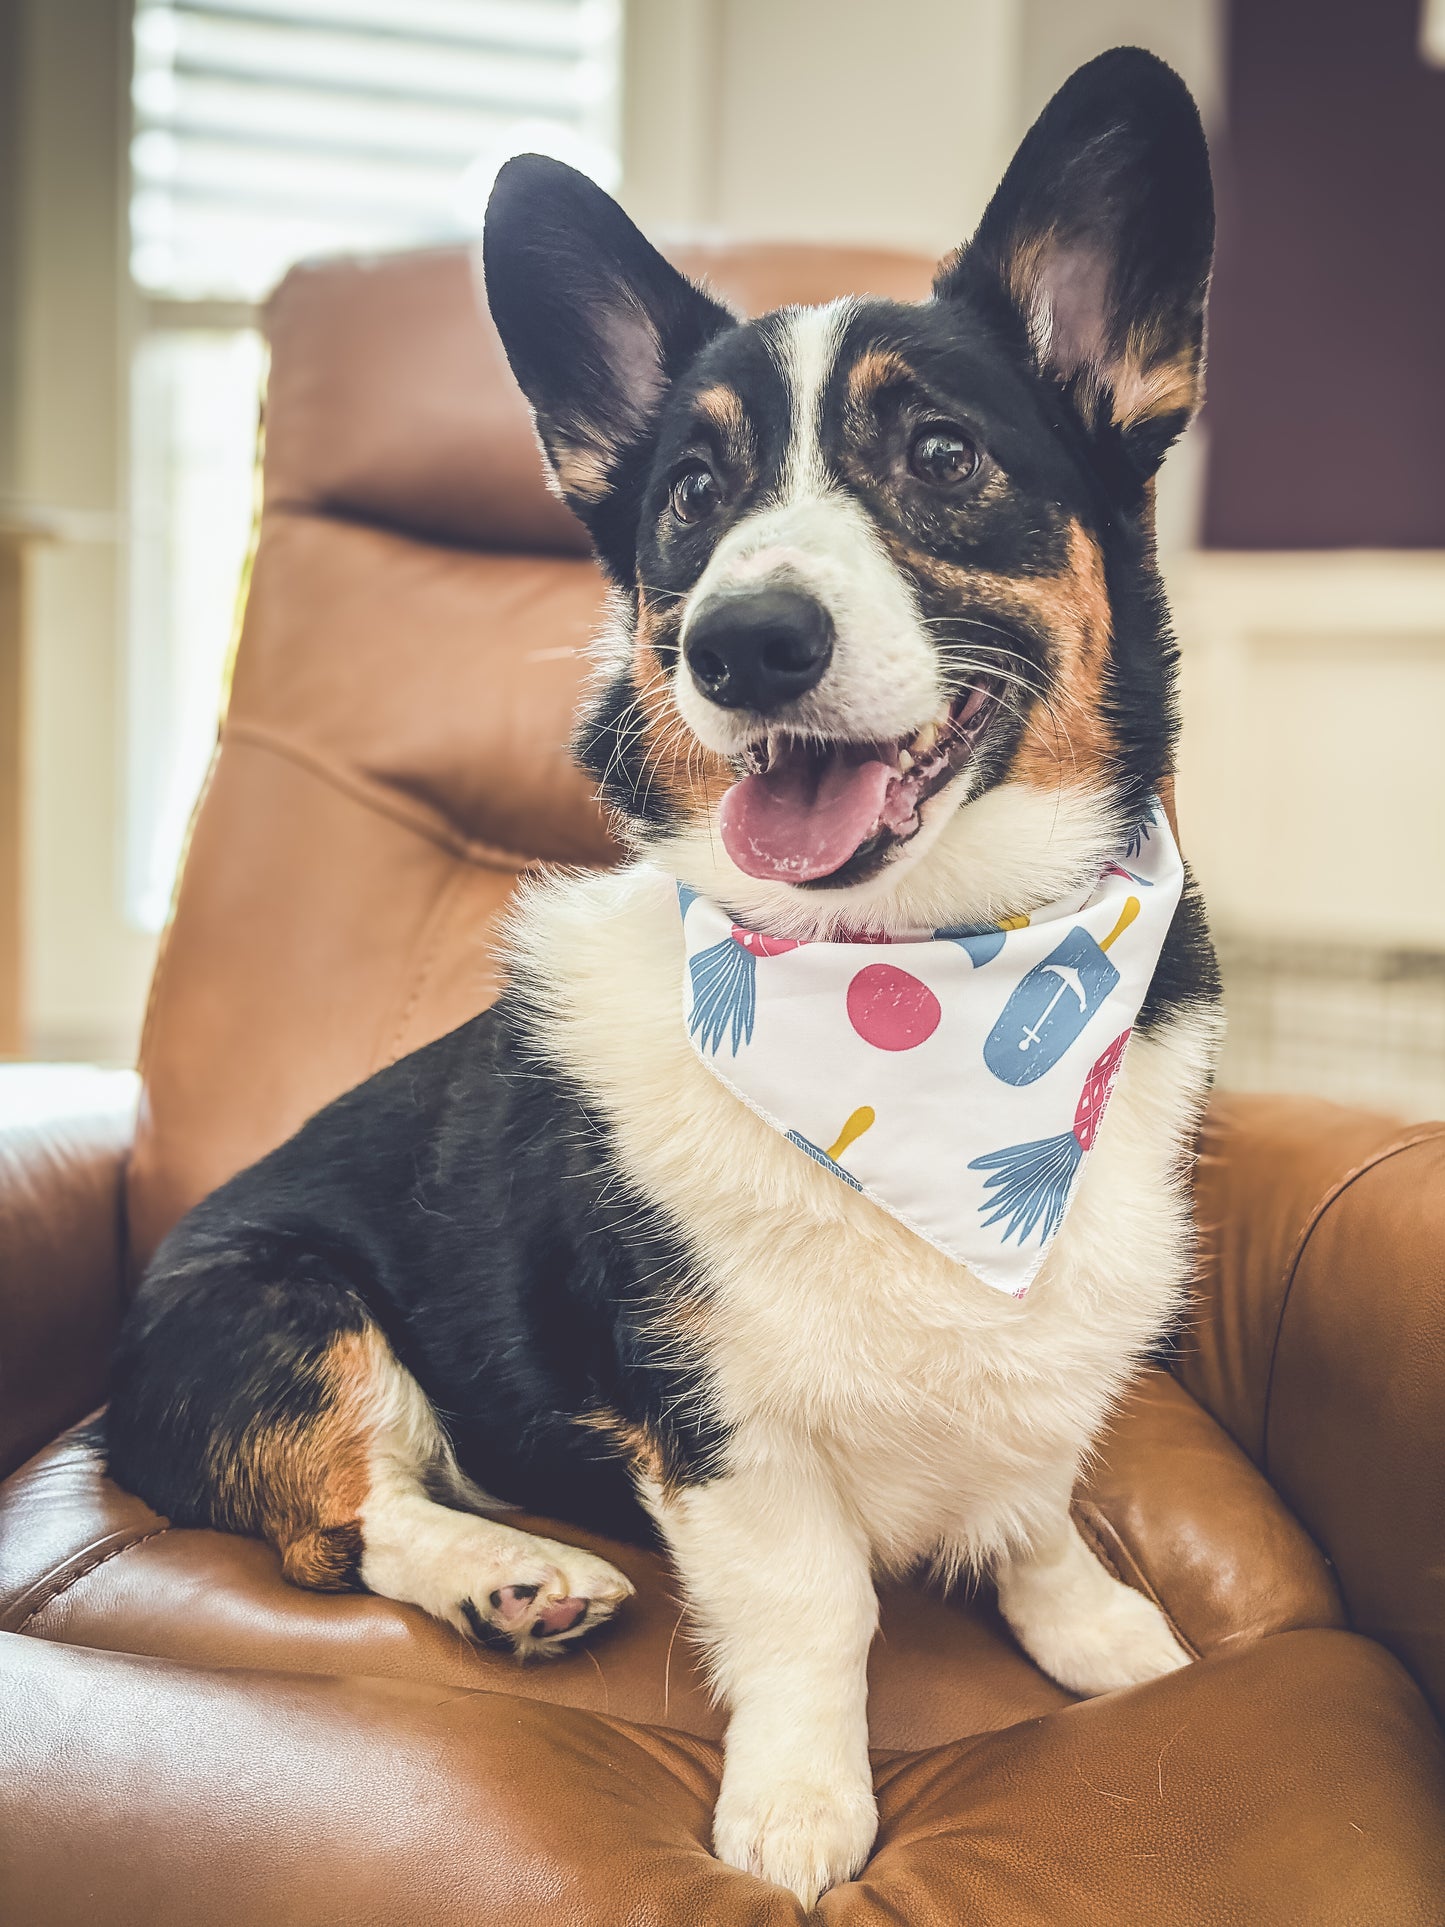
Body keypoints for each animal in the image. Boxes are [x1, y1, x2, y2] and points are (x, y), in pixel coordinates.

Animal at [107, 48, 1225, 1911]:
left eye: (941, 454)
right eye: (693, 498)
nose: (741, 642)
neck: (919, 990)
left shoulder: (1049, 1341)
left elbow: (1033, 1506)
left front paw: (1101, 1633)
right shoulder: (715, 1421)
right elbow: (816, 1609)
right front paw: (800, 1807)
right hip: (285, 1305)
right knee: (339, 1518)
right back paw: (507, 1575)